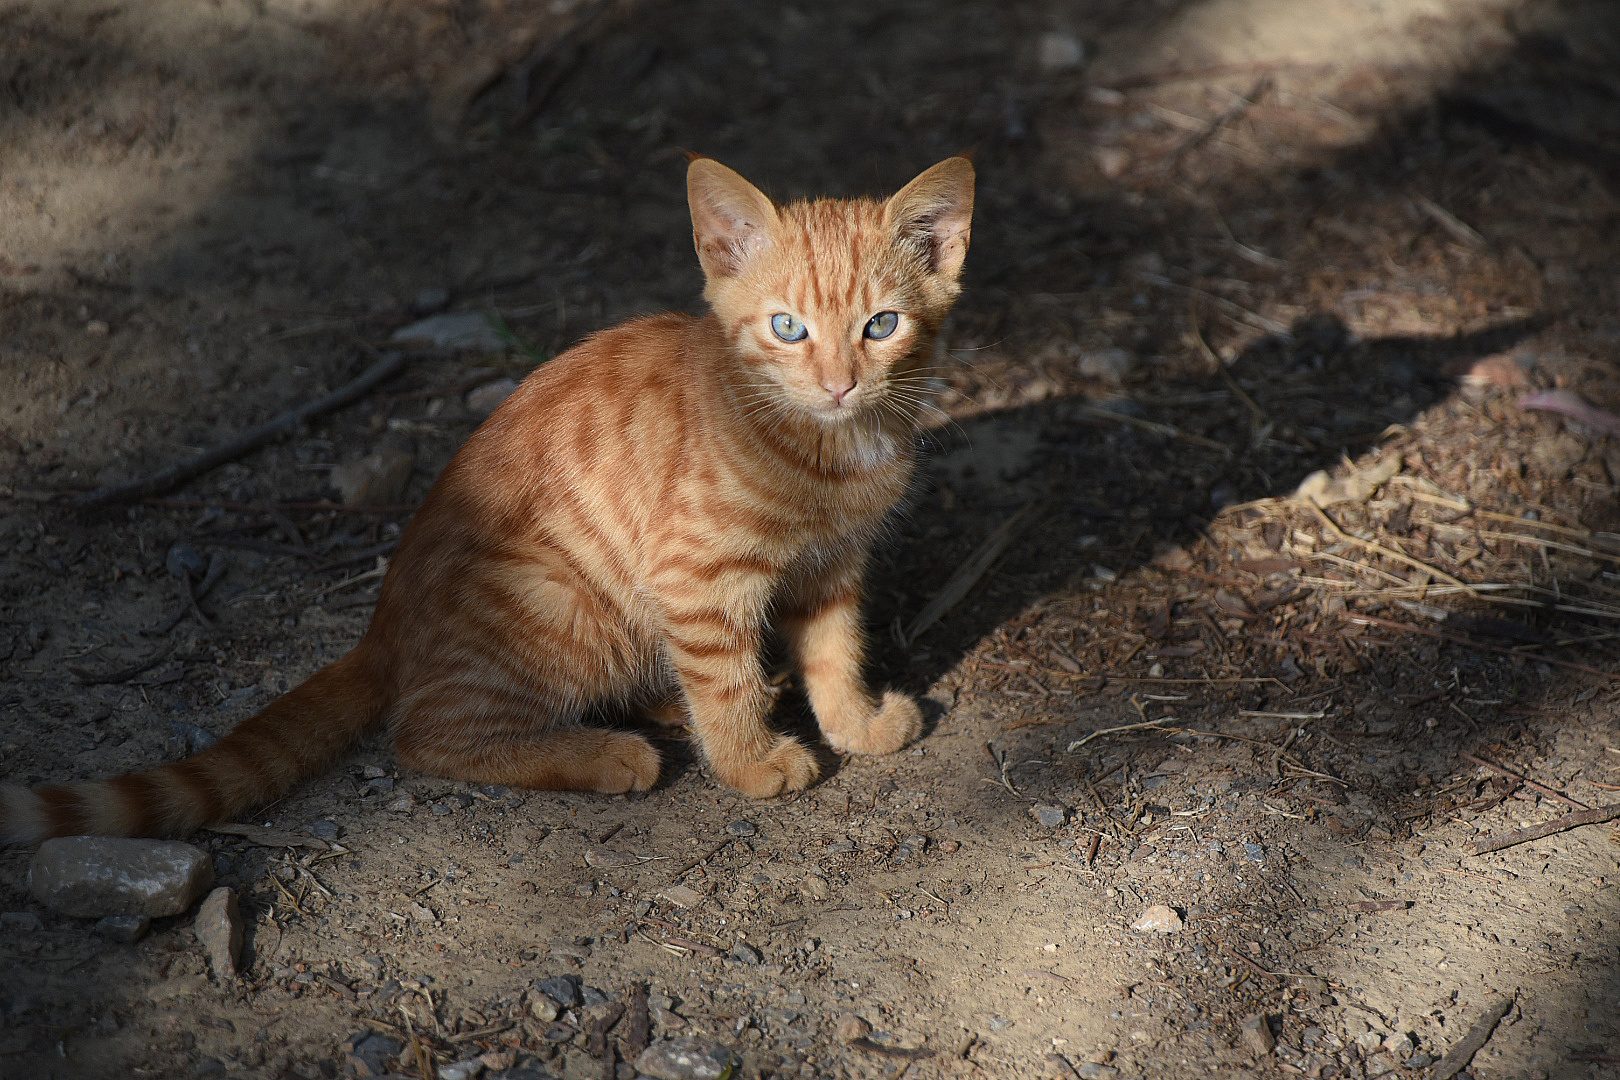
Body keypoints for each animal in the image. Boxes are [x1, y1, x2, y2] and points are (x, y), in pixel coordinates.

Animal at [0, 153, 972, 841]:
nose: (841, 383)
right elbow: (723, 679)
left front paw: (854, 723)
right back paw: (608, 751)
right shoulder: (697, 574)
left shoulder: (833, 566)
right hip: (560, 598)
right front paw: (748, 763)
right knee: (427, 735)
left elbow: (834, 650)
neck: (826, 447)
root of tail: (382, 627)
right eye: (786, 329)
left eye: (881, 325)